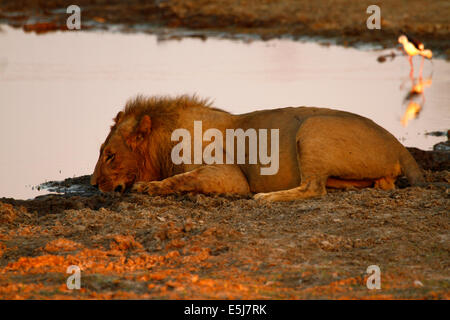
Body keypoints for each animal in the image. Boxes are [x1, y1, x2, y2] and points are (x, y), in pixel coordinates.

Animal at [89, 94, 424, 201]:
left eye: (110, 155)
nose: (92, 184)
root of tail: (398, 144)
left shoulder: (231, 177)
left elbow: (183, 178)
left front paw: (149, 187)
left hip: (312, 128)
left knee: (314, 188)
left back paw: (267, 197)